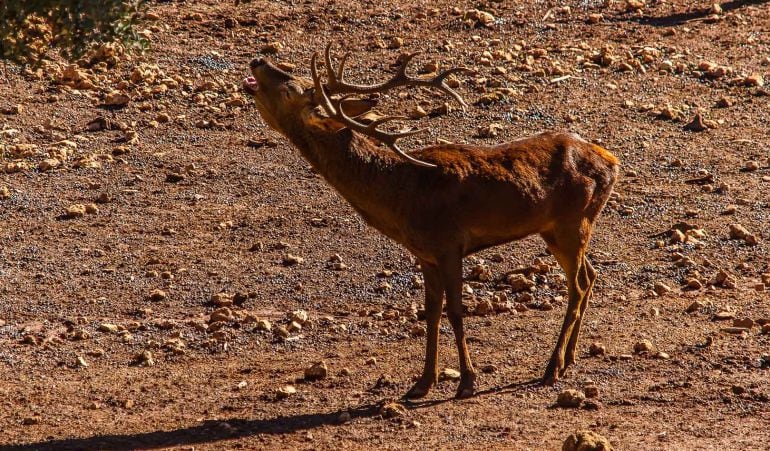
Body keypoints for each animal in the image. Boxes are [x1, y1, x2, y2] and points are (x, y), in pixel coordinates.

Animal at [243, 43, 616, 400]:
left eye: (291, 87)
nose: (258, 61)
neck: (400, 194)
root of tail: (612, 162)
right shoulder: (424, 254)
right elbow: (431, 312)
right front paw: (422, 383)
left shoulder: (449, 243)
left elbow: (455, 311)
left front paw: (466, 382)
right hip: (557, 229)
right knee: (590, 276)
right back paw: (568, 359)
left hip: (572, 222)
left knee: (577, 285)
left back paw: (552, 368)